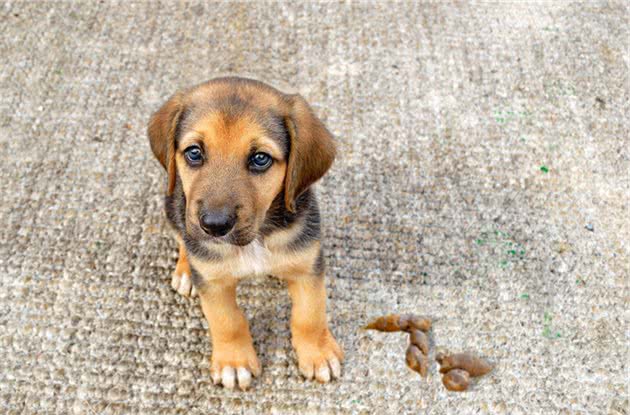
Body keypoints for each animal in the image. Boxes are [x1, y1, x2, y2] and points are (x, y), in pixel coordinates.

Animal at [148, 76, 344, 392]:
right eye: (194, 152)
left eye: (260, 159)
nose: (214, 226)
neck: (256, 238)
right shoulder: (214, 282)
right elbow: (227, 321)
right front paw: (234, 362)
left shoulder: (307, 267)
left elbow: (310, 315)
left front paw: (318, 354)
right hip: (173, 206)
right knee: (182, 239)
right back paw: (186, 272)